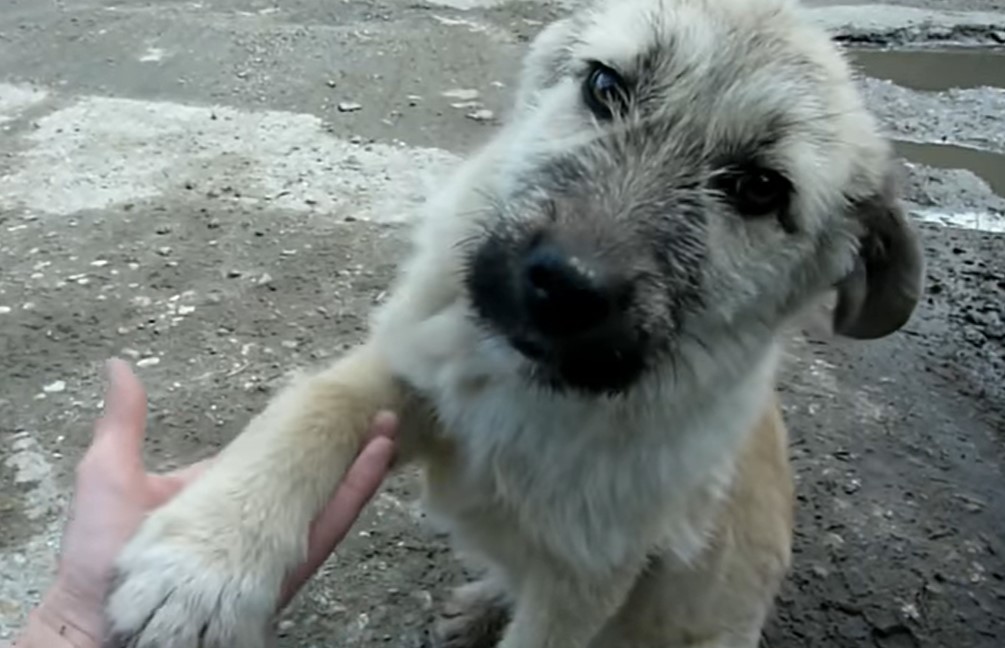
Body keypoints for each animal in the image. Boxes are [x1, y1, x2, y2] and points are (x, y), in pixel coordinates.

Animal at [104, 1, 924, 646]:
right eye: (605, 86)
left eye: (759, 190)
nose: (564, 286)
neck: (531, 392)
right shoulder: (410, 374)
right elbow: (311, 409)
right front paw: (200, 567)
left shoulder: (588, 580)